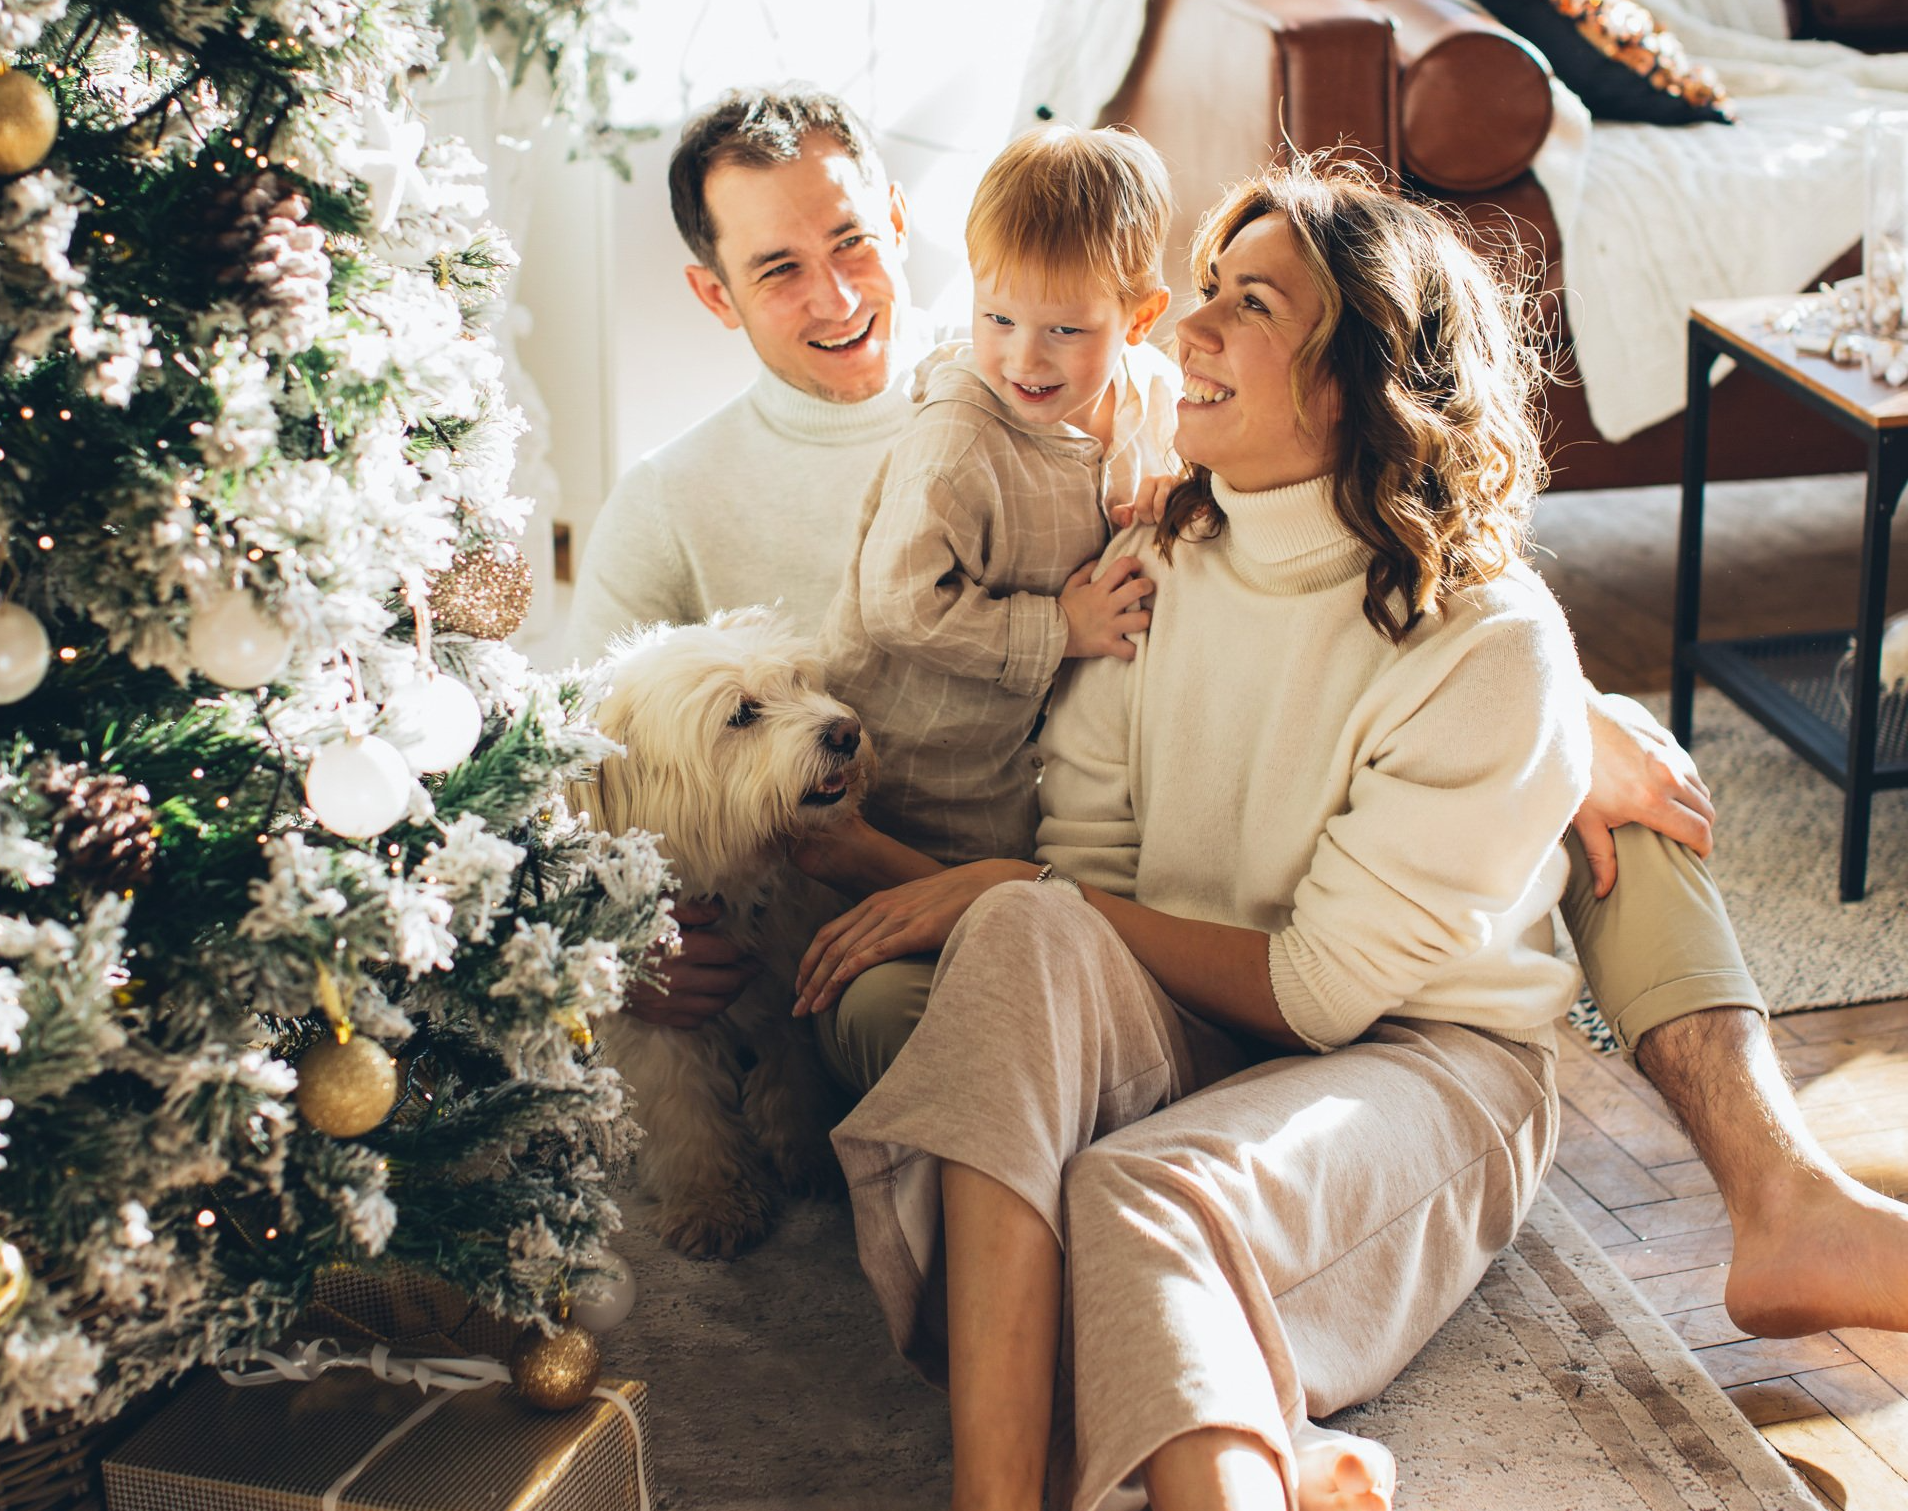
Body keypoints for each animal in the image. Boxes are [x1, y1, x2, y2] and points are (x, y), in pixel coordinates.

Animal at [576, 606, 873, 1259]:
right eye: (742, 715)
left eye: (799, 682)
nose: (846, 731)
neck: (731, 889)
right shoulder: (660, 1023)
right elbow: (685, 1112)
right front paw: (712, 1201)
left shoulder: (788, 993)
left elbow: (794, 1080)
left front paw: (808, 1154)